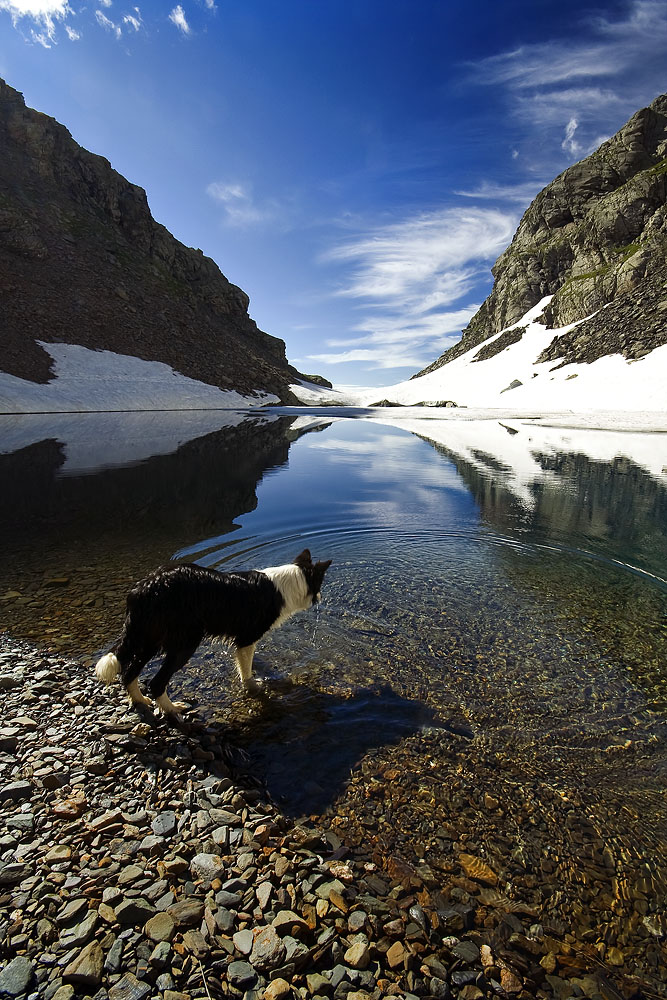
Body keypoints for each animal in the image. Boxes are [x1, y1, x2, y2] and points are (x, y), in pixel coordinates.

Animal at [92, 552, 332, 716]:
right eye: (320, 583)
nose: (320, 598)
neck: (289, 582)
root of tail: (143, 588)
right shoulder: (247, 637)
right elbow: (246, 668)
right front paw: (254, 686)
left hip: (148, 639)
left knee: (128, 672)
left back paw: (141, 701)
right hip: (185, 642)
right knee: (156, 682)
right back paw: (173, 709)